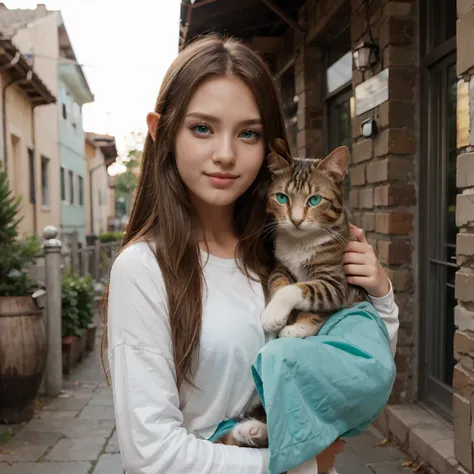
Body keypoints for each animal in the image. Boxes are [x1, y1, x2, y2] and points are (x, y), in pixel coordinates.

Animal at [215, 139, 366, 450]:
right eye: (282, 198)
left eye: (315, 200)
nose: (295, 220)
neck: (300, 244)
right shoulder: (279, 266)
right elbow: (282, 284)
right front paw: (276, 313)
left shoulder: (336, 280)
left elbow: (304, 291)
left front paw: (292, 325)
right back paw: (249, 431)